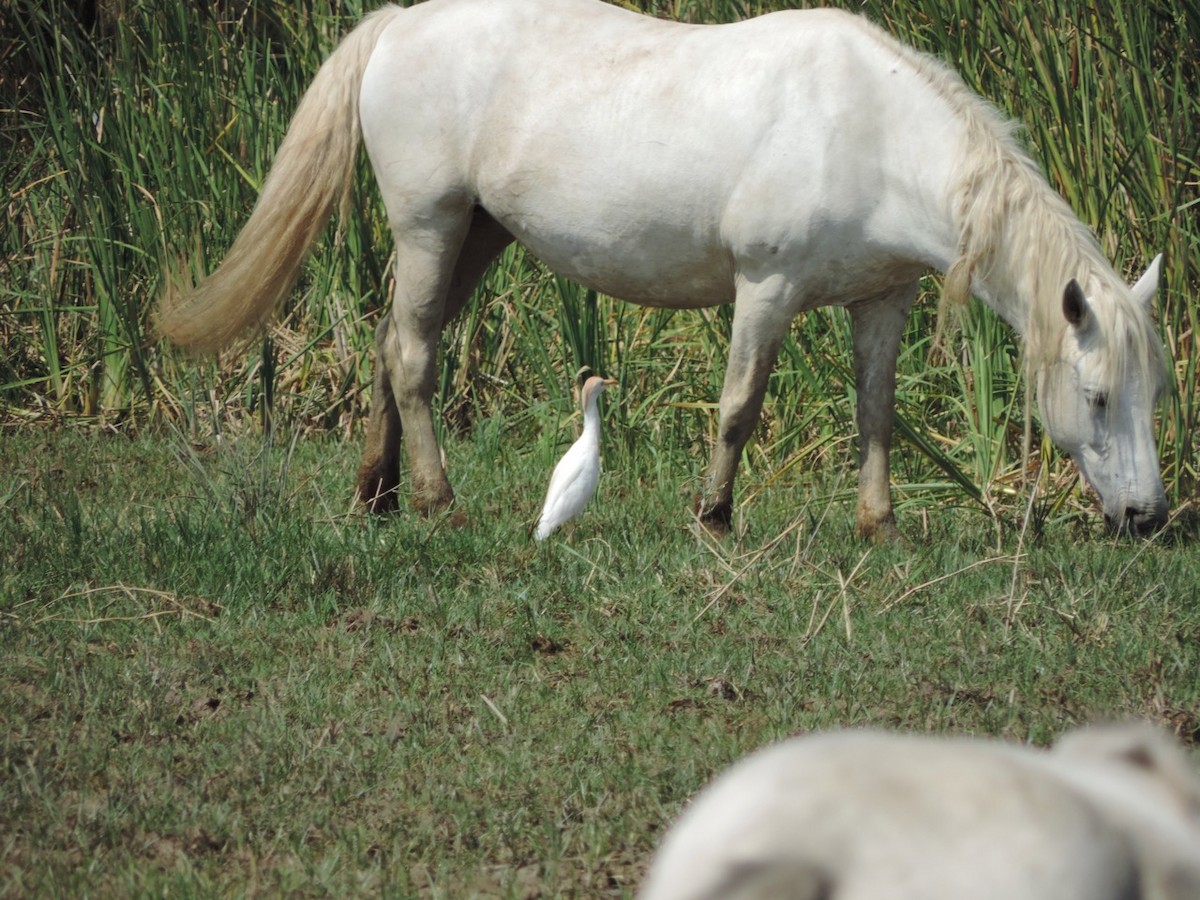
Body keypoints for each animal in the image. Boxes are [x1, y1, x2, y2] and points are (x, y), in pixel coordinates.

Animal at [154, 0, 1166, 535]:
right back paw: (439, 502)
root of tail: (404, 23)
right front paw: (713, 515)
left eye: (1153, 392)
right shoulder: (767, 289)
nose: (1149, 516)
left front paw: (877, 524)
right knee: (411, 359)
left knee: (392, 342)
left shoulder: (883, 299)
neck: (871, 131)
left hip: (475, 235)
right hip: (429, 225)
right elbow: (738, 407)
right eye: (1099, 396)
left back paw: (378, 495)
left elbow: (876, 412)